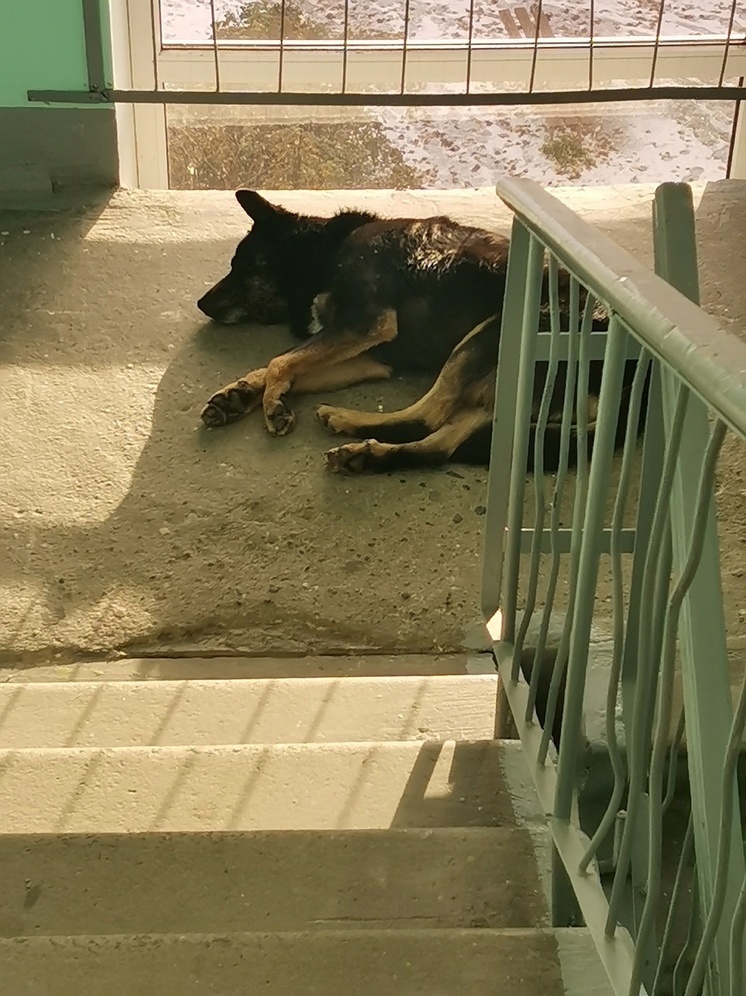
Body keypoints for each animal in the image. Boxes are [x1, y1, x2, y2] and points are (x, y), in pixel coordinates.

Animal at [198, 196, 644, 476]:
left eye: (243, 265)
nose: (201, 304)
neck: (325, 251)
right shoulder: (370, 354)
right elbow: (288, 364)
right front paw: (239, 395)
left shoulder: (365, 322)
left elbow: (281, 360)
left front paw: (272, 403)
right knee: (440, 444)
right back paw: (368, 457)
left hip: (492, 334)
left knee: (428, 414)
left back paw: (348, 419)